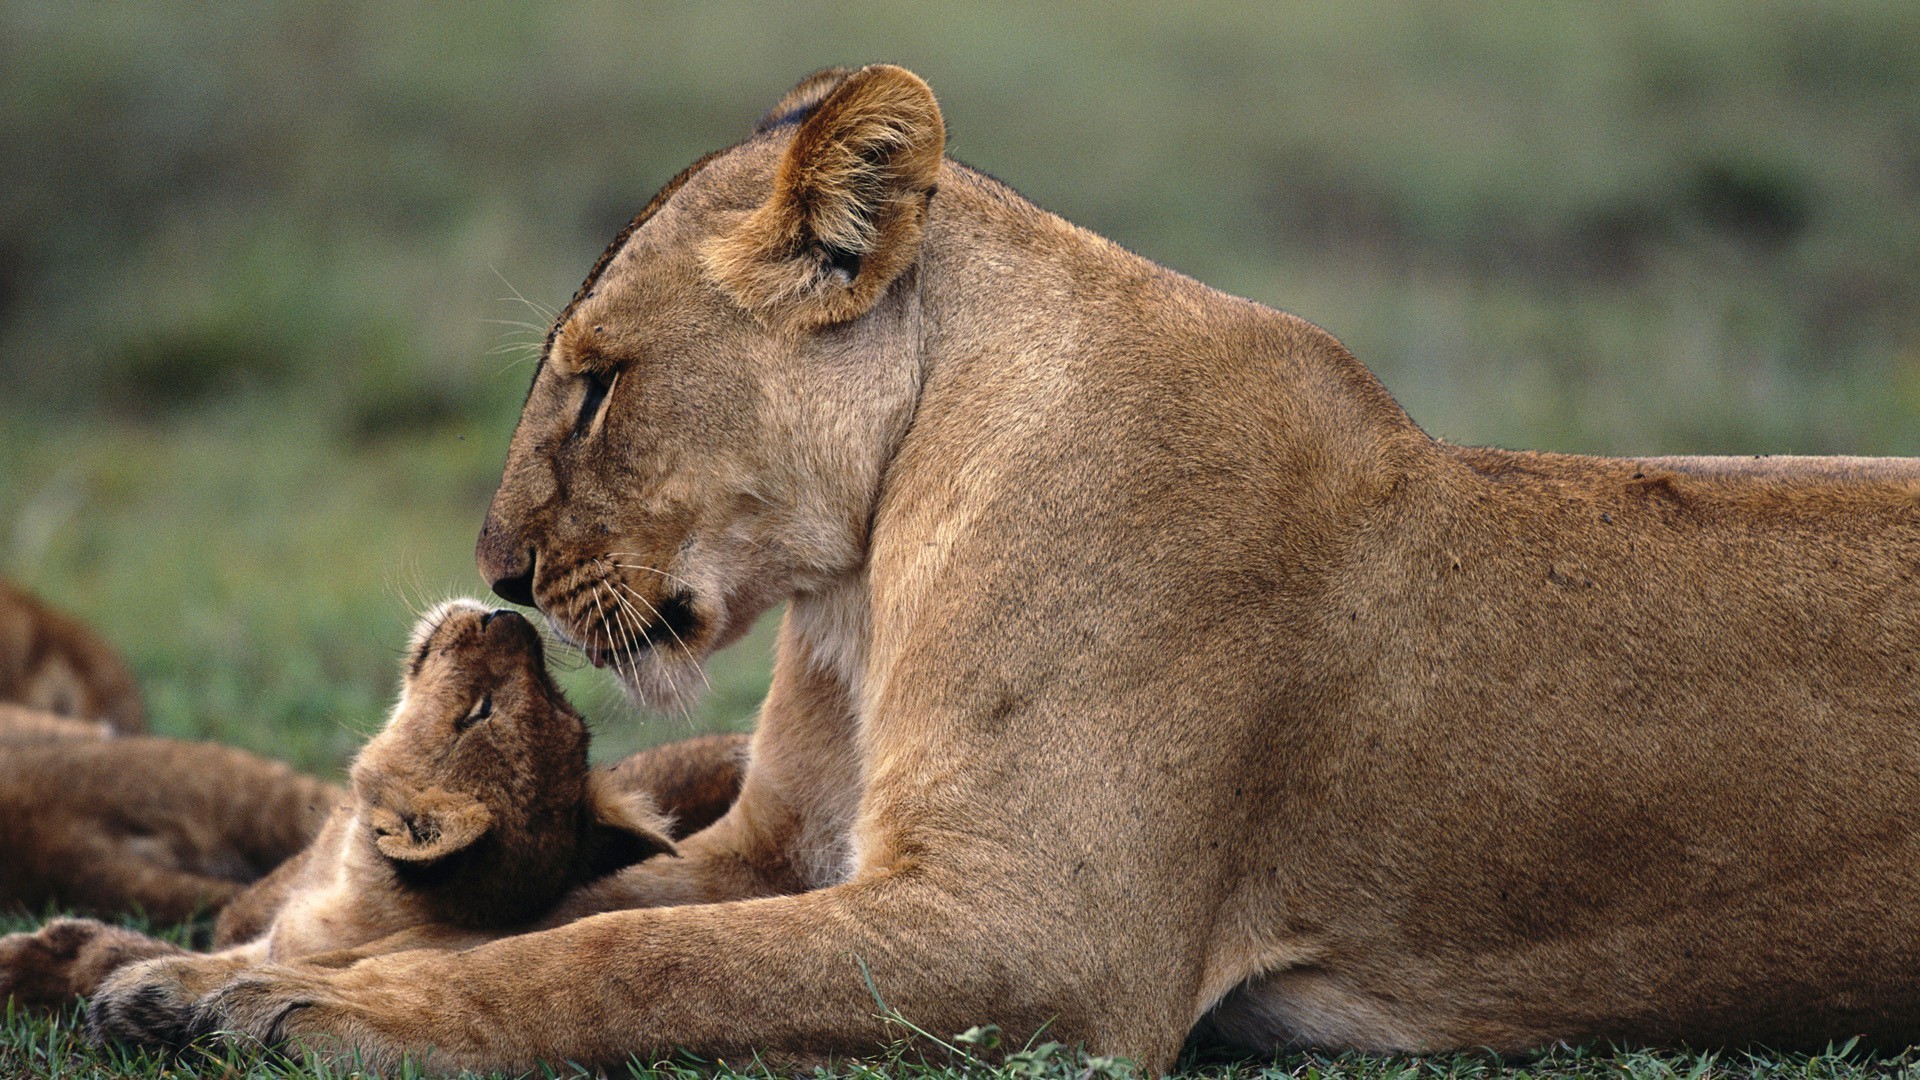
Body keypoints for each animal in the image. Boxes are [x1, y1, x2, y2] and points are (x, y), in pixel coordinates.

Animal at [89, 64, 1920, 1075]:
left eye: (598, 384)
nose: (502, 576)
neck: (864, 580)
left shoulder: (1044, 931)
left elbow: (617, 961)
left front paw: (314, 1018)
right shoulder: (784, 847)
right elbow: (544, 918)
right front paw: (200, 978)